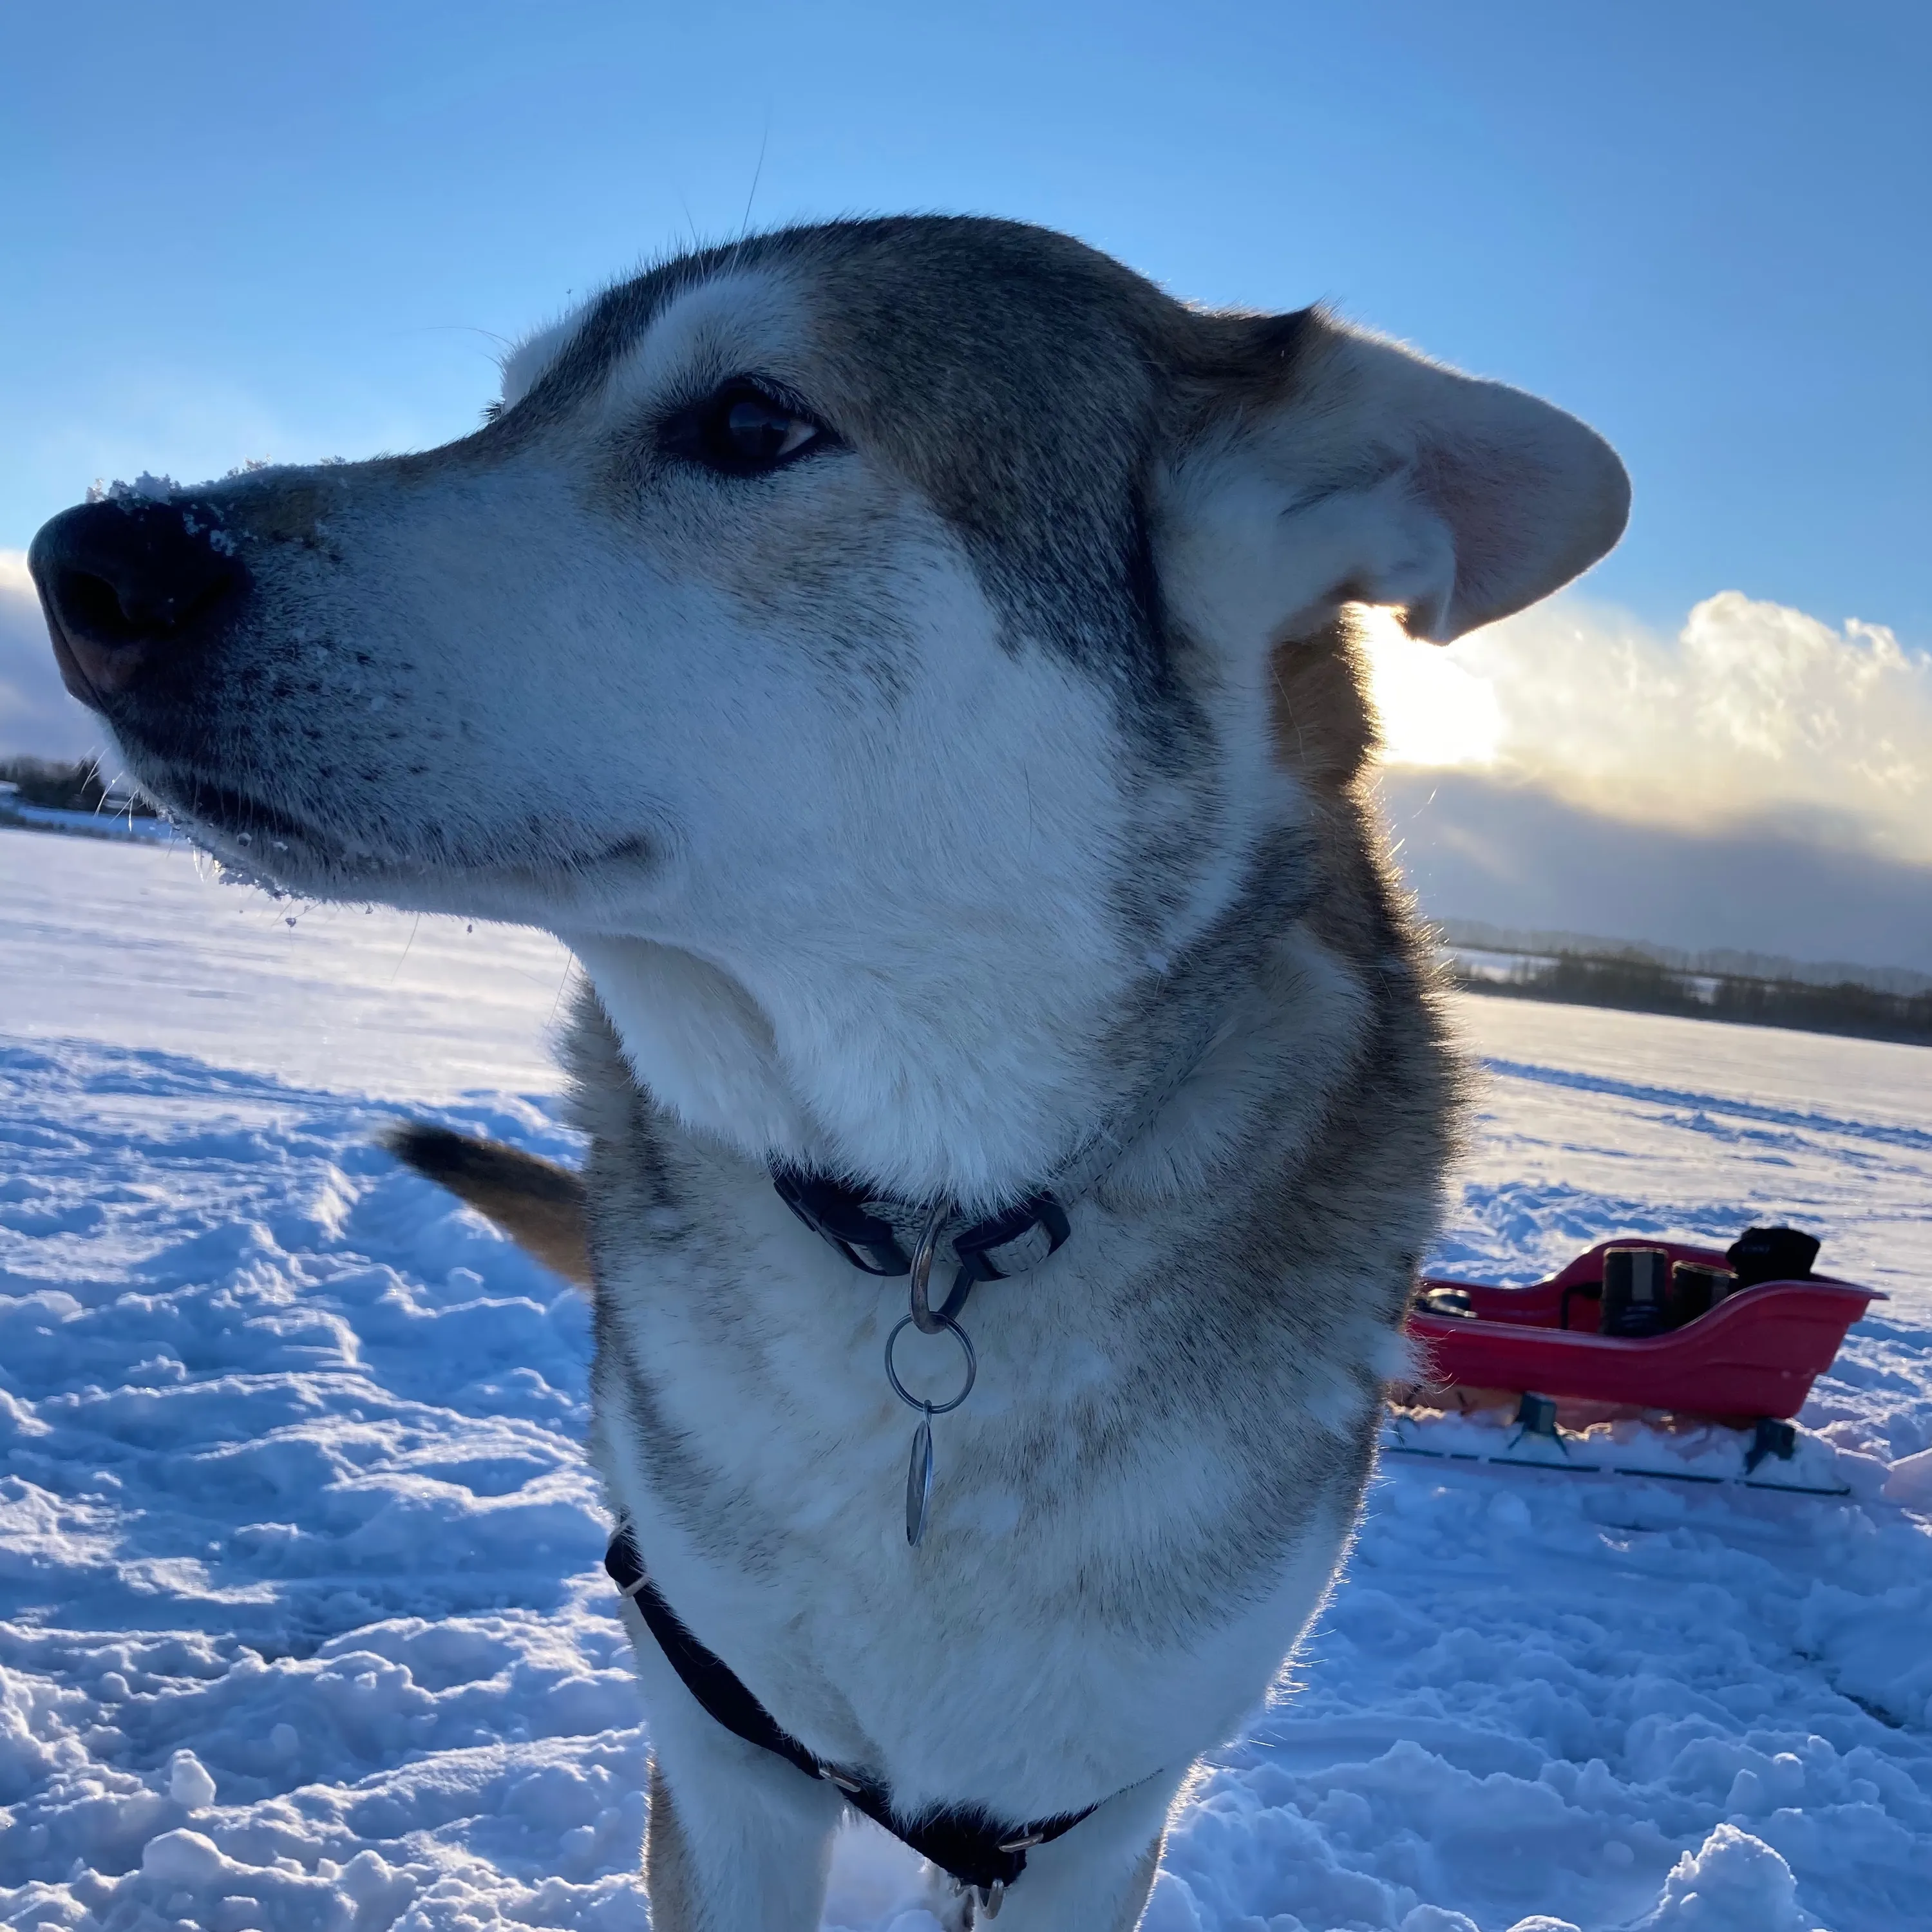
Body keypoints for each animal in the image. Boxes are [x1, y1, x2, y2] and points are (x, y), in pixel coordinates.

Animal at [33, 215, 1631, 1932]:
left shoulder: (1096, 1809)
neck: (930, 1221)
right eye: (505, 413)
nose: (90, 559)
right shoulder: (725, 1740)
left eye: (749, 420)